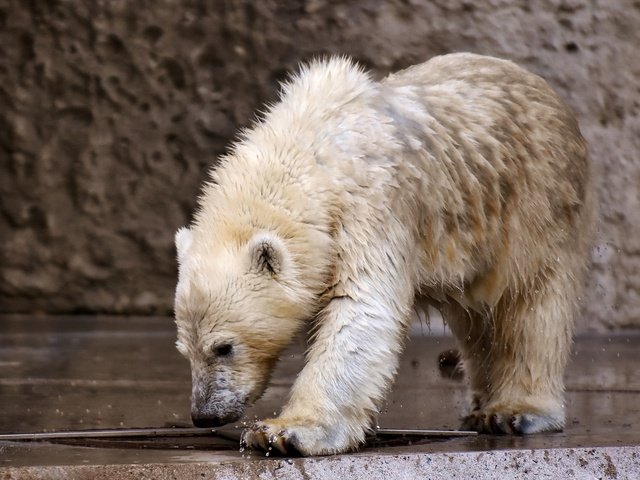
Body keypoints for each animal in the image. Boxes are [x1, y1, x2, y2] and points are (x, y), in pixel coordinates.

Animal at [172, 53, 592, 458]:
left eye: (224, 347)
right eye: (184, 349)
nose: (204, 415)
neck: (312, 148)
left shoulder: (371, 208)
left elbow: (361, 311)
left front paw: (283, 432)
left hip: (532, 205)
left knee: (528, 306)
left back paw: (515, 411)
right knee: (476, 318)